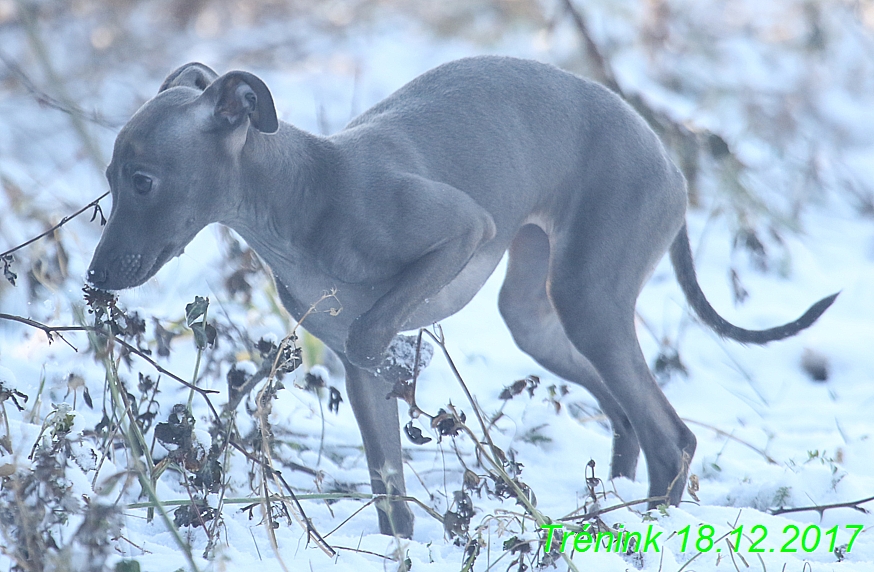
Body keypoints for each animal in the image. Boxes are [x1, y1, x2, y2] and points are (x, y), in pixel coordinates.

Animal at [87, 55, 832, 540]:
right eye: (113, 178)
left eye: (143, 181)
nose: (95, 279)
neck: (304, 190)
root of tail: (670, 159)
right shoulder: (354, 372)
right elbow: (390, 491)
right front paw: (398, 546)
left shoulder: (463, 232)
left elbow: (377, 333)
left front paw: (405, 372)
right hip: (539, 316)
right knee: (624, 415)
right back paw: (610, 506)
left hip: (589, 299)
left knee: (670, 437)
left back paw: (647, 527)